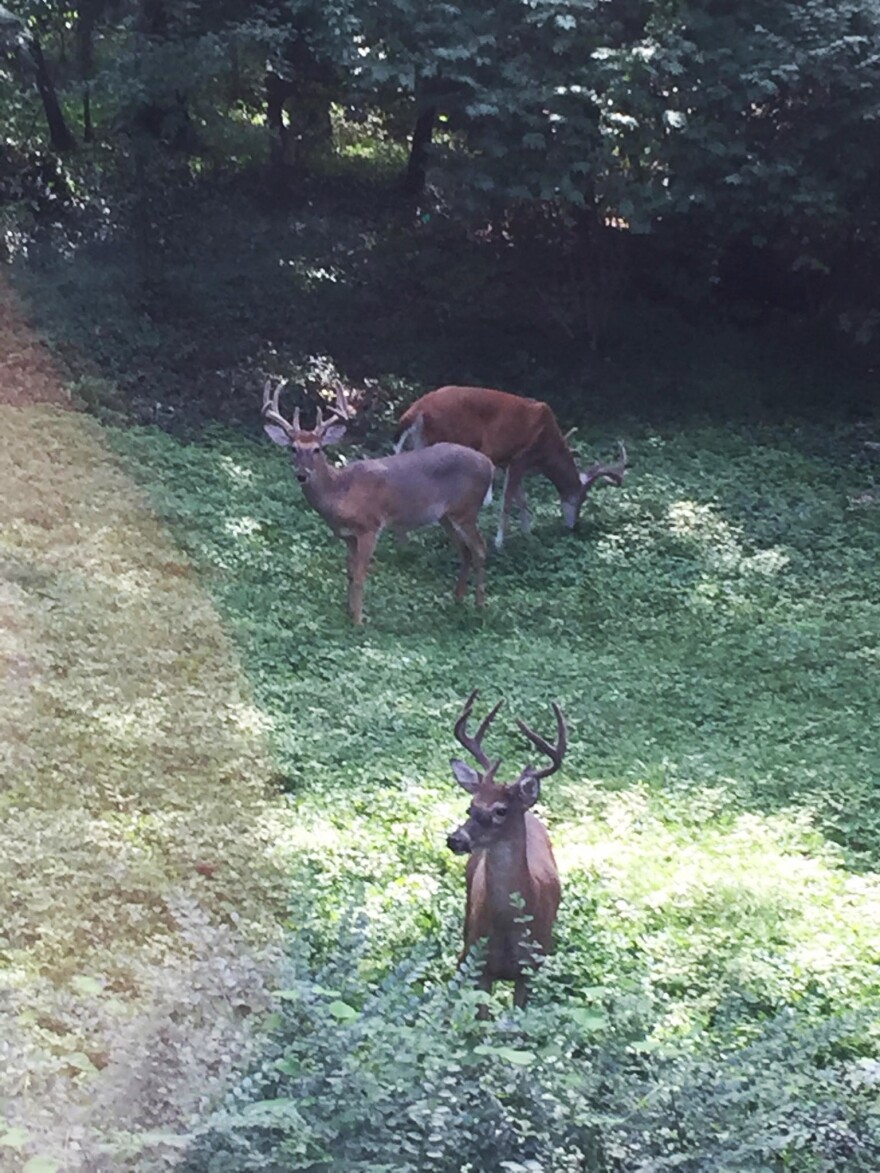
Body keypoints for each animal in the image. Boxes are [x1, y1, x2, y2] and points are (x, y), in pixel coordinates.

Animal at [261, 382, 497, 624]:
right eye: (293, 448)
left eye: (317, 449)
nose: (302, 475)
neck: (340, 491)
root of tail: (489, 465)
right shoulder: (348, 536)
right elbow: (349, 573)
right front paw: (348, 612)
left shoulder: (370, 526)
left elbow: (360, 575)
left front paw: (358, 621)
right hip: (446, 516)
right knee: (465, 550)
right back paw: (457, 600)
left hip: (466, 509)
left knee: (480, 548)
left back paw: (480, 606)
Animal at [391, 384, 628, 548]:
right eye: (581, 498)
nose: (573, 526)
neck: (546, 447)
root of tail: (415, 410)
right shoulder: (517, 457)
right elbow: (507, 501)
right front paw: (499, 543)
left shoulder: (509, 464)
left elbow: (521, 499)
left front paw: (527, 534)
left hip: (419, 444)